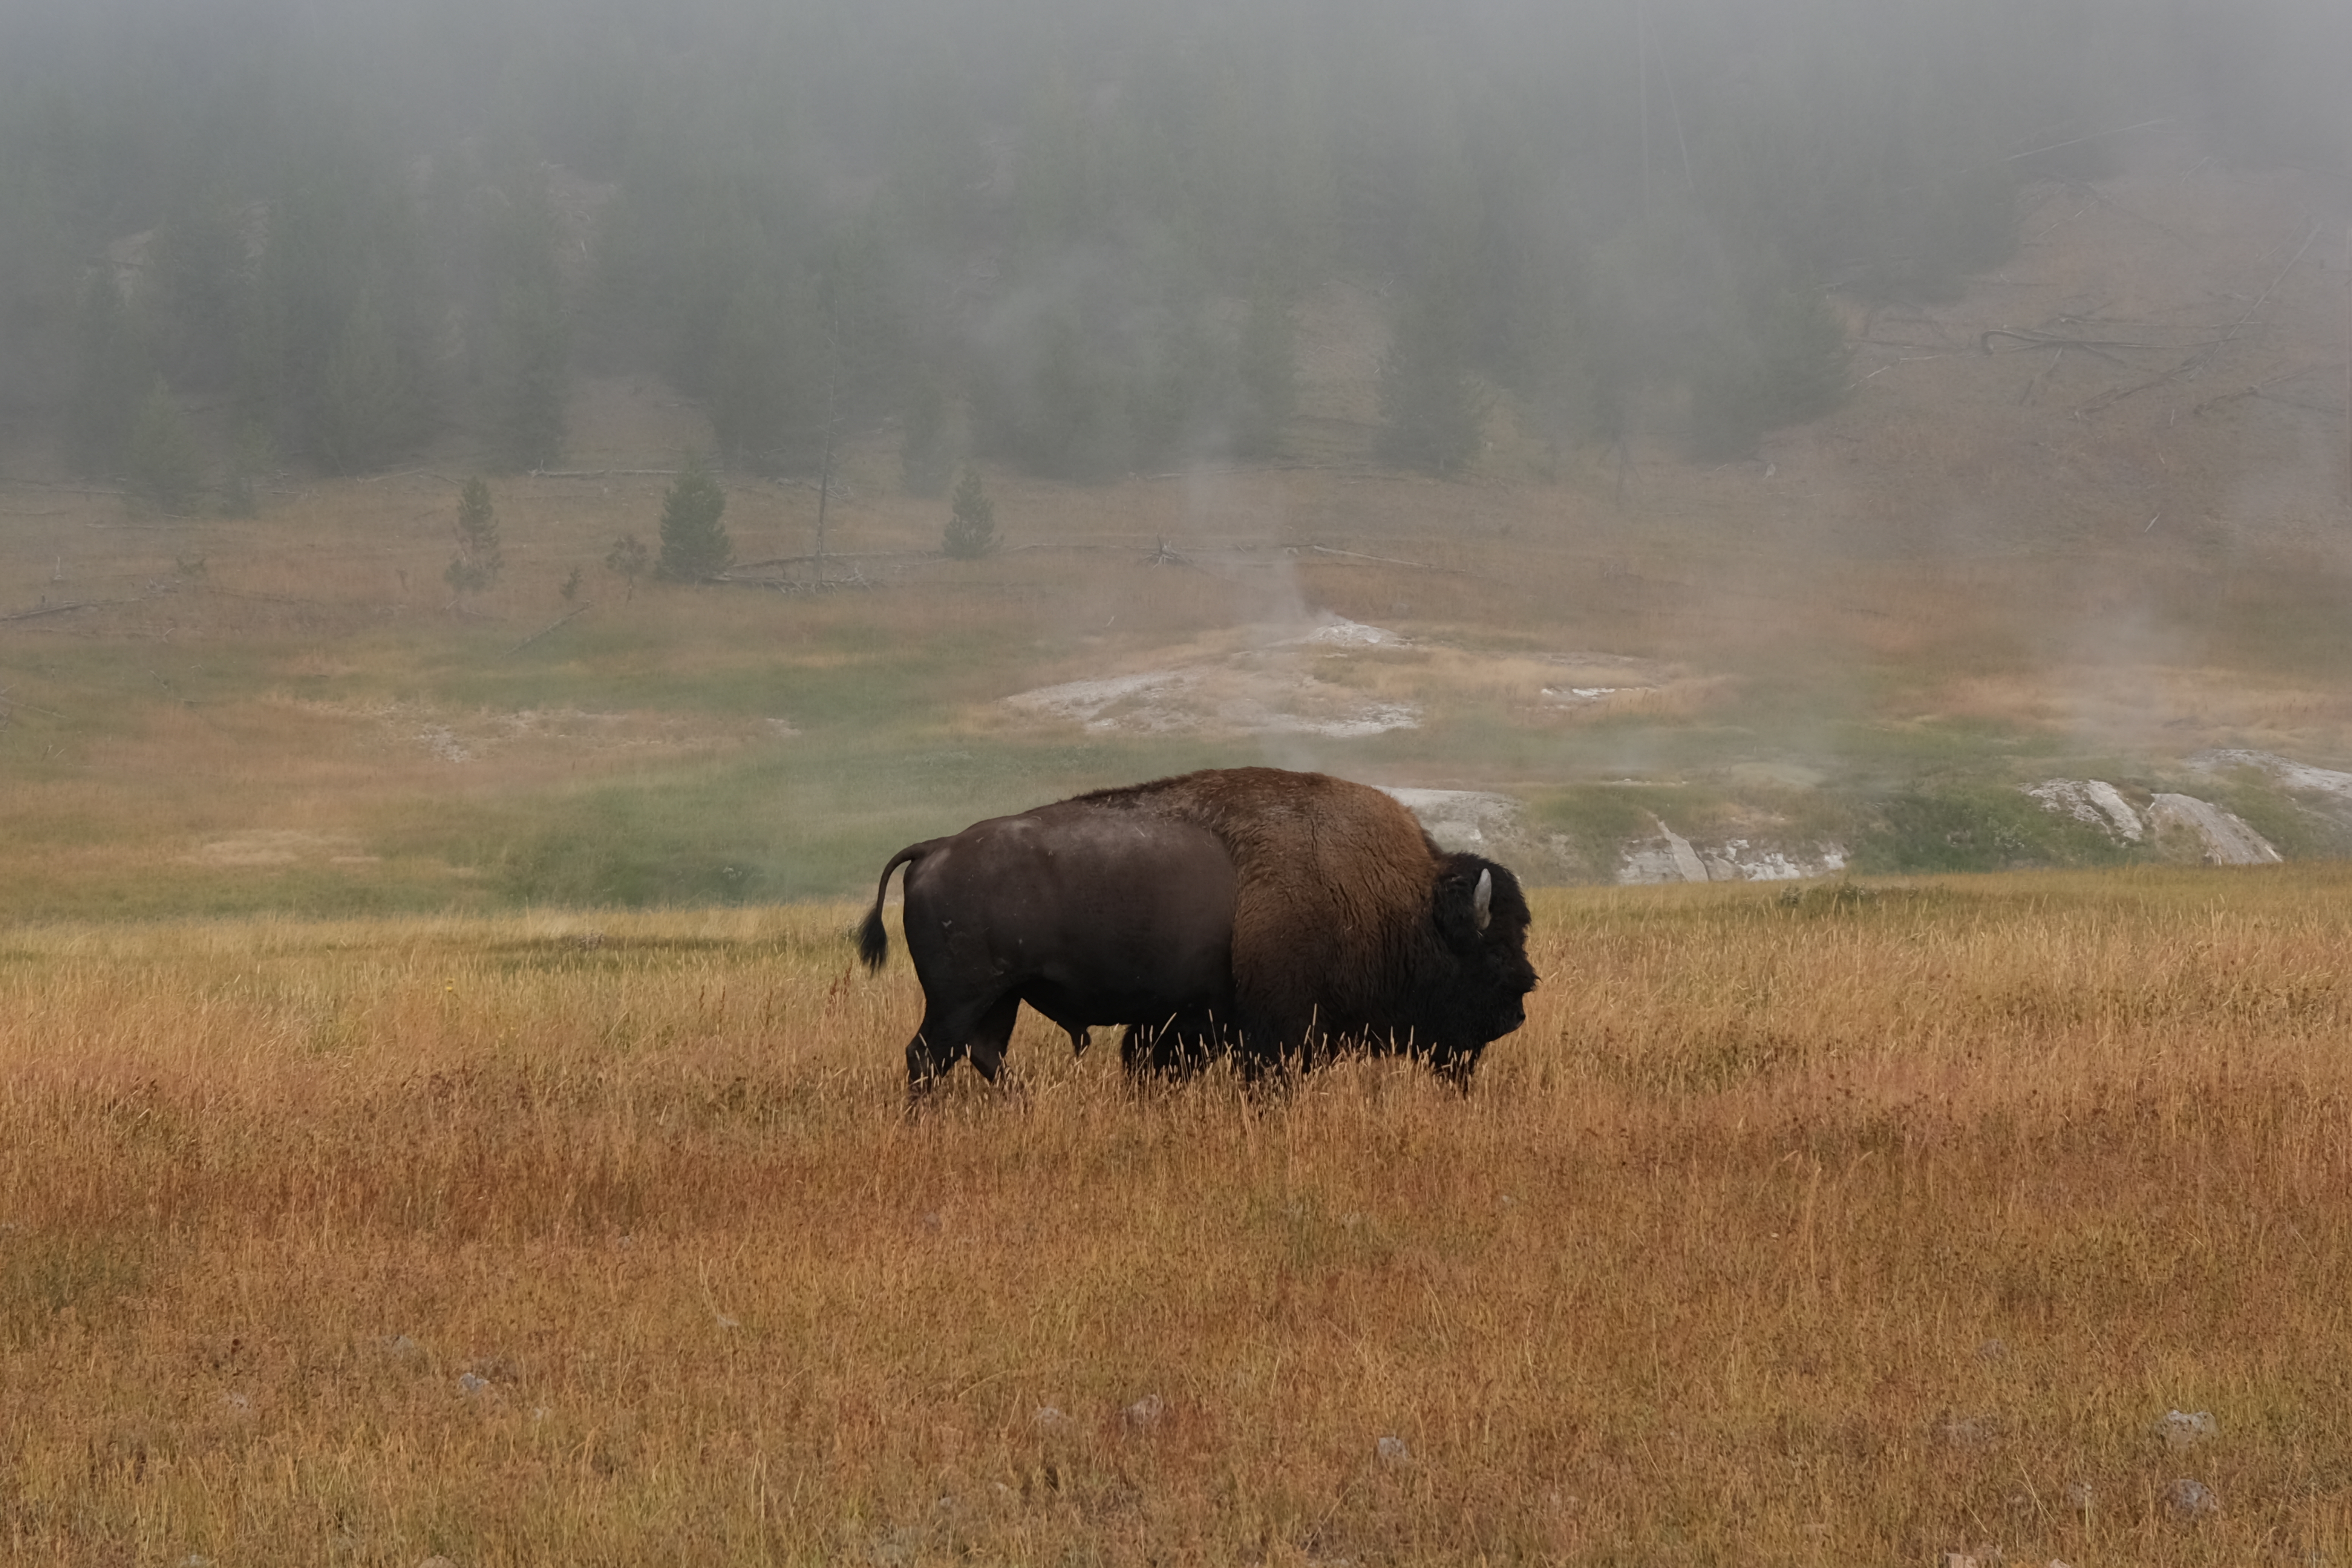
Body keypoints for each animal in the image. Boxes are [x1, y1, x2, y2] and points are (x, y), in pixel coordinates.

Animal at [856, 766, 1533, 1100]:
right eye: (1490, 950)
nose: (1521, 1003)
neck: (1396, 899)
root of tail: (935, 848)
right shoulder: (1275, 1033)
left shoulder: (1190, 1022)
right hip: (961, 998)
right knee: (928, 1056)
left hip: (1000, 999)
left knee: (982, 1053)